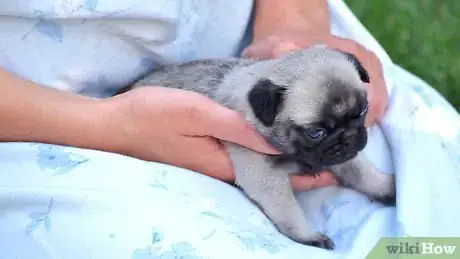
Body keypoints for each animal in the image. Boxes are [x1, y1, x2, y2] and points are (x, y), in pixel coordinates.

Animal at [116, 46, 396, 250]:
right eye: (316, 133)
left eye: (362, 111)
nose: (348, 137)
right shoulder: (263, 173)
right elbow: (288, 210)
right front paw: (306, 236)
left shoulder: (344, 156)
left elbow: (363, 172)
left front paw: (385, 187)